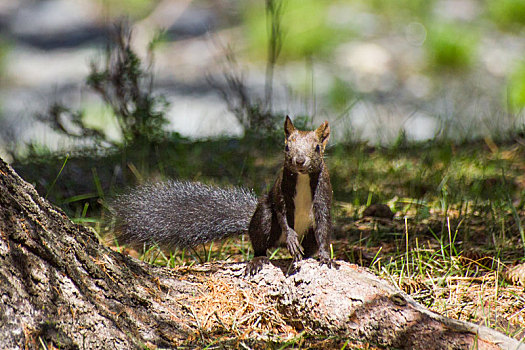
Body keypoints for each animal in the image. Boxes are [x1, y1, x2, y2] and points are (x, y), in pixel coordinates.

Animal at [112, 116, 334, 274]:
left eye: (317, 147)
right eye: (287, 146)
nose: (299, 160)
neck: (302, 179)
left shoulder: (323, 195)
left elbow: (324, 224)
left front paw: (325, 256)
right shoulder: (280, 192)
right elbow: (282, 214)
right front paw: (291, 237)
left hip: (308, 232)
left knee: (311, 241)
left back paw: (303, 255)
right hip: (263, 218)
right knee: (260, 243)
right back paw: (259, 260)